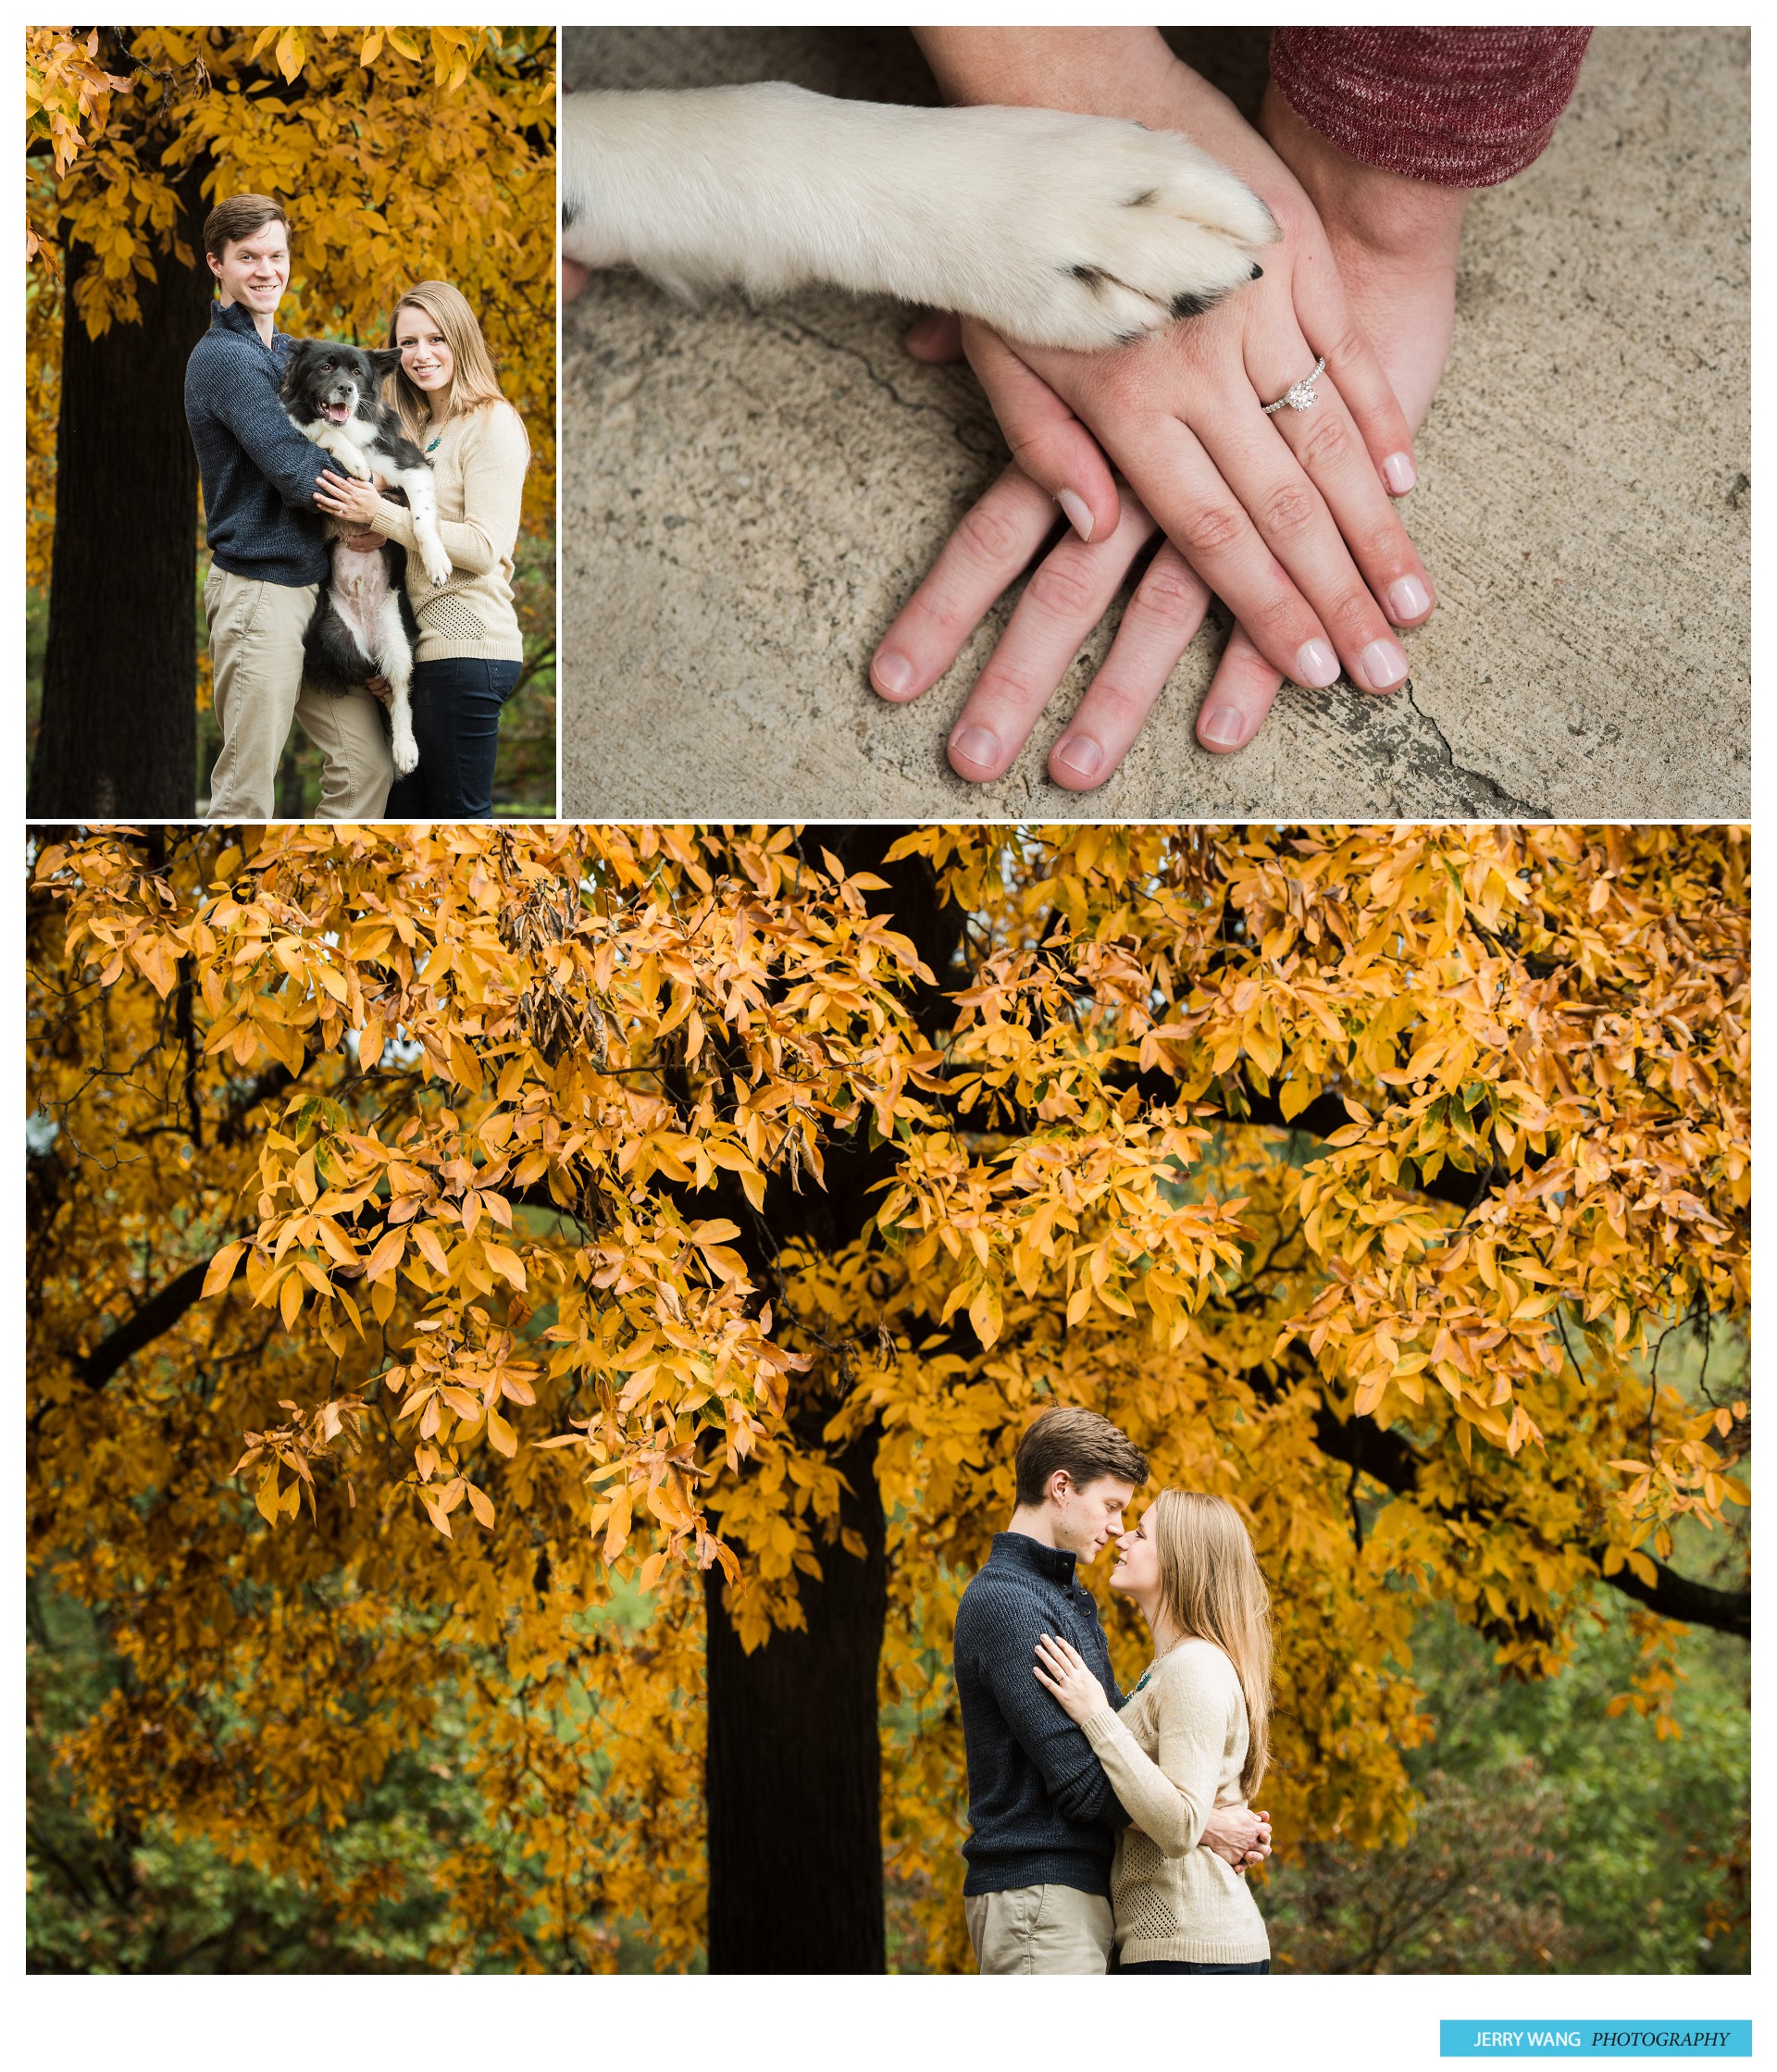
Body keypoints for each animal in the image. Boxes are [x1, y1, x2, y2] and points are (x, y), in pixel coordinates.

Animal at [280, 340, 449, 778]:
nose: (346, 389)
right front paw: (352, 459)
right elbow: (321, 435)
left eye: (358, 373)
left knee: (400, 691)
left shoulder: (408, 464)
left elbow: (421, 516)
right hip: (334, 636)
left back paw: (405, 749)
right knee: (372, 680)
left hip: (398, 639)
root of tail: (371, 642)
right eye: (325, 368)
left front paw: (437, 560)